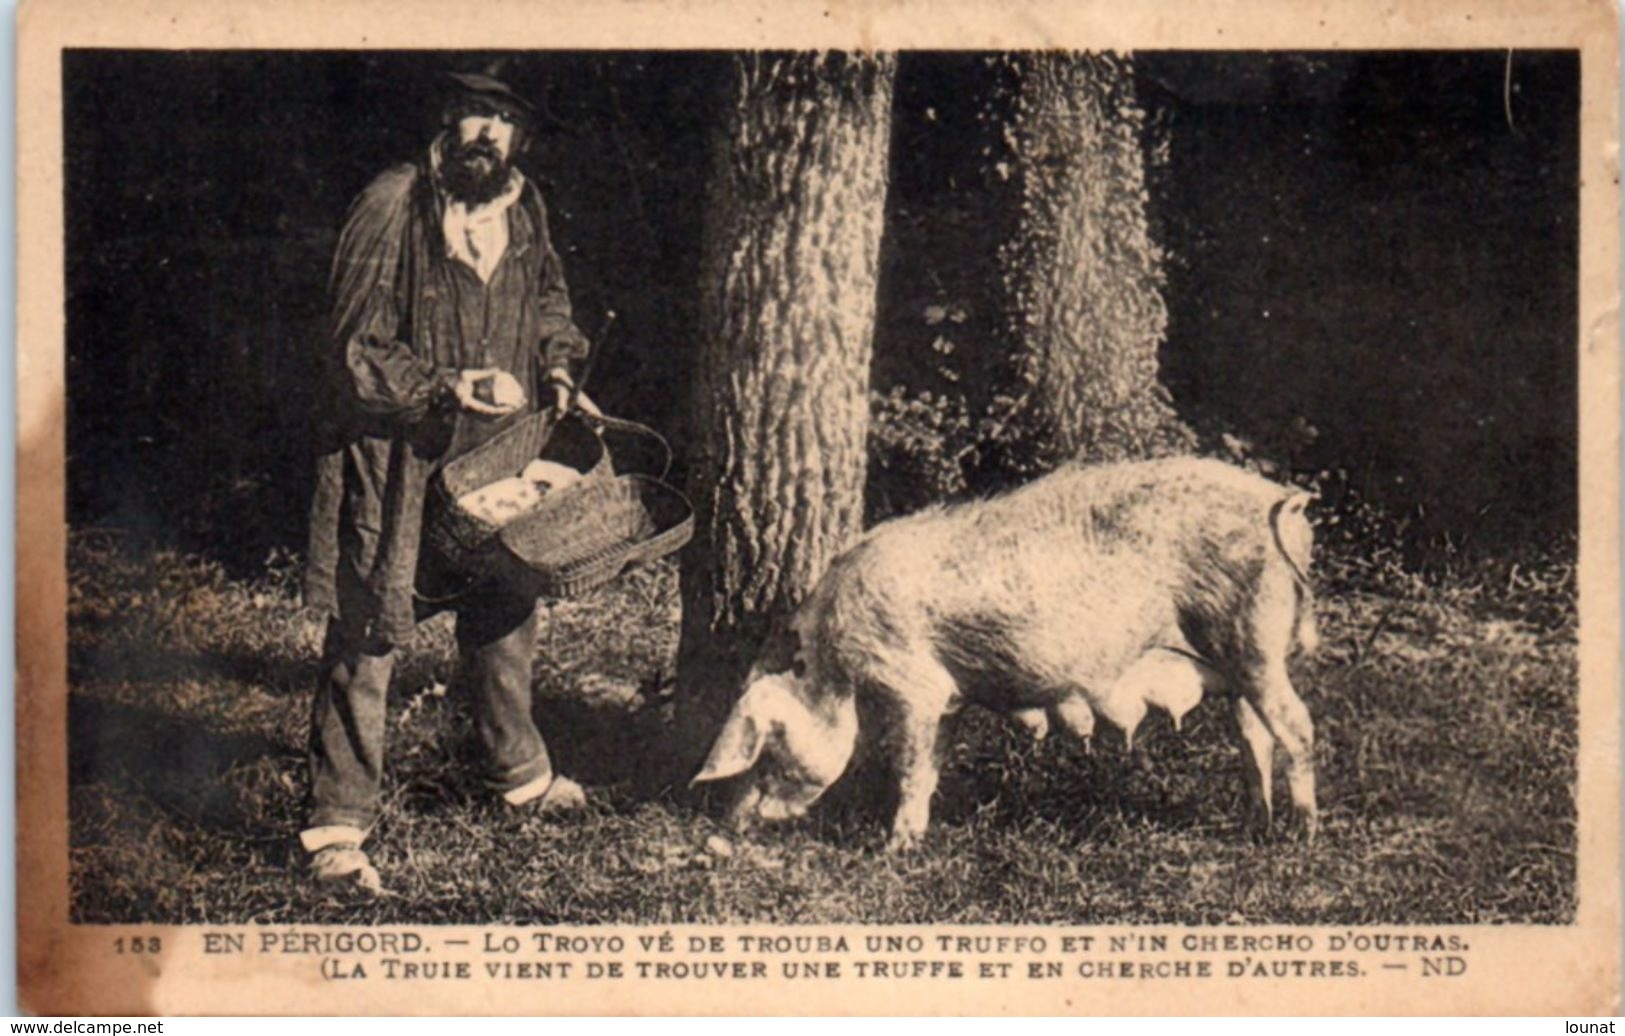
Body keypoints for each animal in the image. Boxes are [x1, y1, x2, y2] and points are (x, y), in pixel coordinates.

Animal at [689, 461, 1319, 850]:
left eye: (766, 747)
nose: (728, 821)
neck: (832, 662)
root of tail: (1281, 505)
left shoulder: (913, 684)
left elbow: (909, 765)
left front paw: (892, 848)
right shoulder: (946, 698)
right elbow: (932, 764)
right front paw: (913, 841)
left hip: (1252, 639)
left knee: (1297, 728)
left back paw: (1302, 832)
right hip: (1240, 659)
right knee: (1255, 737)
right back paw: (1256, 823)